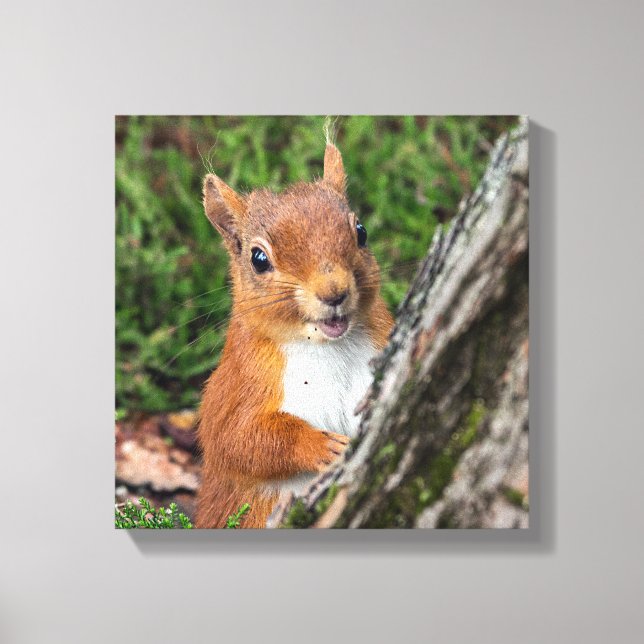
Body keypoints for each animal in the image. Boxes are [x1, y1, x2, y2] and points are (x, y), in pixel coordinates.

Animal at [195, 141, 393, 528]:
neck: (327, 347)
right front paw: (321, 446)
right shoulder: (238, 383)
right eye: (258, 259)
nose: (334, 292)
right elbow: (236, 439)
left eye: (361, 231)